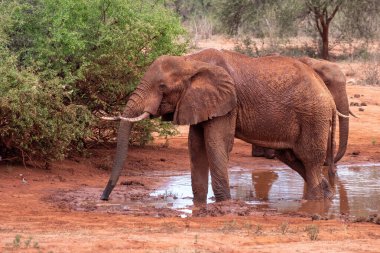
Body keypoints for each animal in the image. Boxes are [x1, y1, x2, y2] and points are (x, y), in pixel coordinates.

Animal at [101, 48, 338, 205]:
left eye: (162, 87)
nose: (104, 197)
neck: (190, 61)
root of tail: (329, 97)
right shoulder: (198, 102)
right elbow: (196, 147)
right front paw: (199, 204)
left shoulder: (227, 103)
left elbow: (217, 144)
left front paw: (223, 203)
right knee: (292, 157)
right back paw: (325, 195)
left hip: (313, 116)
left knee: (309, 160)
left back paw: (315, 203)